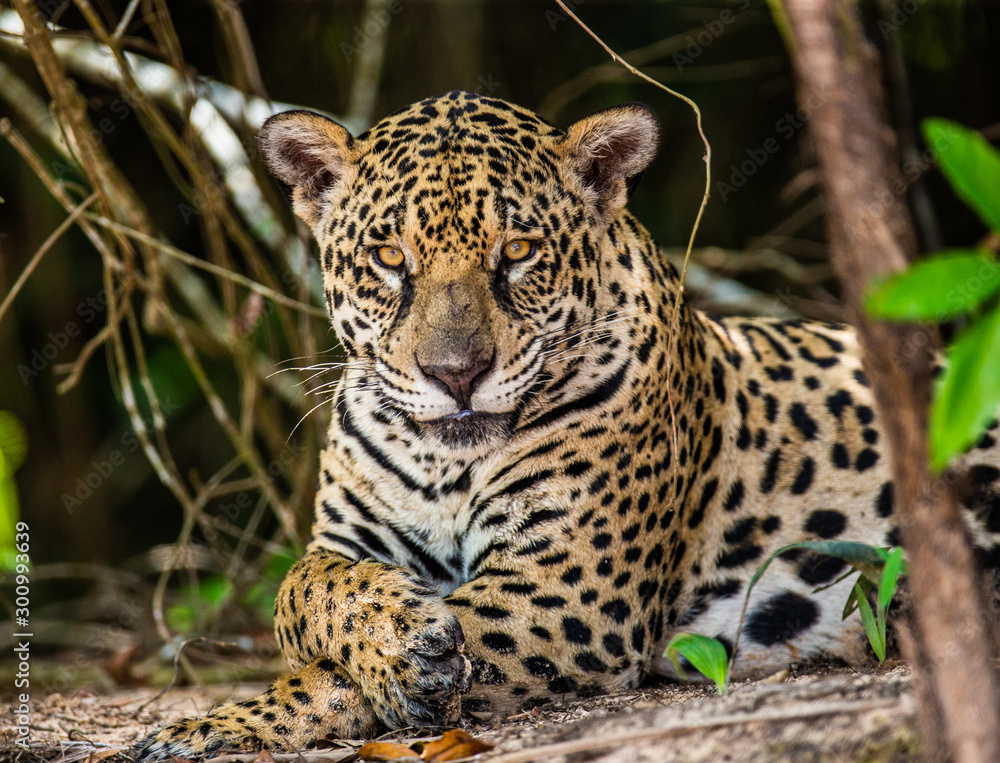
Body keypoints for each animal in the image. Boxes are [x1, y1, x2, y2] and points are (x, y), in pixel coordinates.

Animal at [135, 90, 1000, 760]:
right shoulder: (346, 542)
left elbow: (330, 677)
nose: (456, 373)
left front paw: (227, 720)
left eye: (518, 250)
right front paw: (388, 641)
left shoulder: (560, 597)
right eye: (388, 256)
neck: (446, 467)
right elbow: (303, 591)